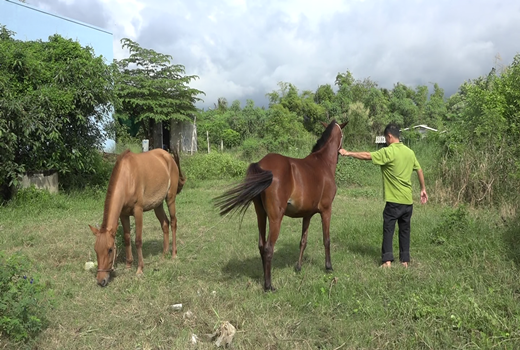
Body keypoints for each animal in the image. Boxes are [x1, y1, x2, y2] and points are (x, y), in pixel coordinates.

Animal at [89, 148, 185, 288]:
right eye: (96, 250)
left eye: (110, 250)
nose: (101, 281)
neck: (128, 178)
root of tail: (168, 156)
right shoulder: (123, 215)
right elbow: (127, 239)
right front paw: (128, 265)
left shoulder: (138, 211)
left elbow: (138, 240)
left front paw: (140, 269)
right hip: (157, 205)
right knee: (165, 224)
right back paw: (164, 254)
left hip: (170, 199)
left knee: (173, 222)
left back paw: (173, 254)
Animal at [215, 119, 350, 290]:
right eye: (343, 135)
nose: (342, 152)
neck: (322, 162)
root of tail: (261, 164)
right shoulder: (326, 210)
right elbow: (326, 239)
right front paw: (329, 267)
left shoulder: (307, 215)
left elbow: (303, 241)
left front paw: (298, 267)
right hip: (275, 218)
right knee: (268, 248)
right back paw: (268, 286)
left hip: (261, 215)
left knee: (261, 245)